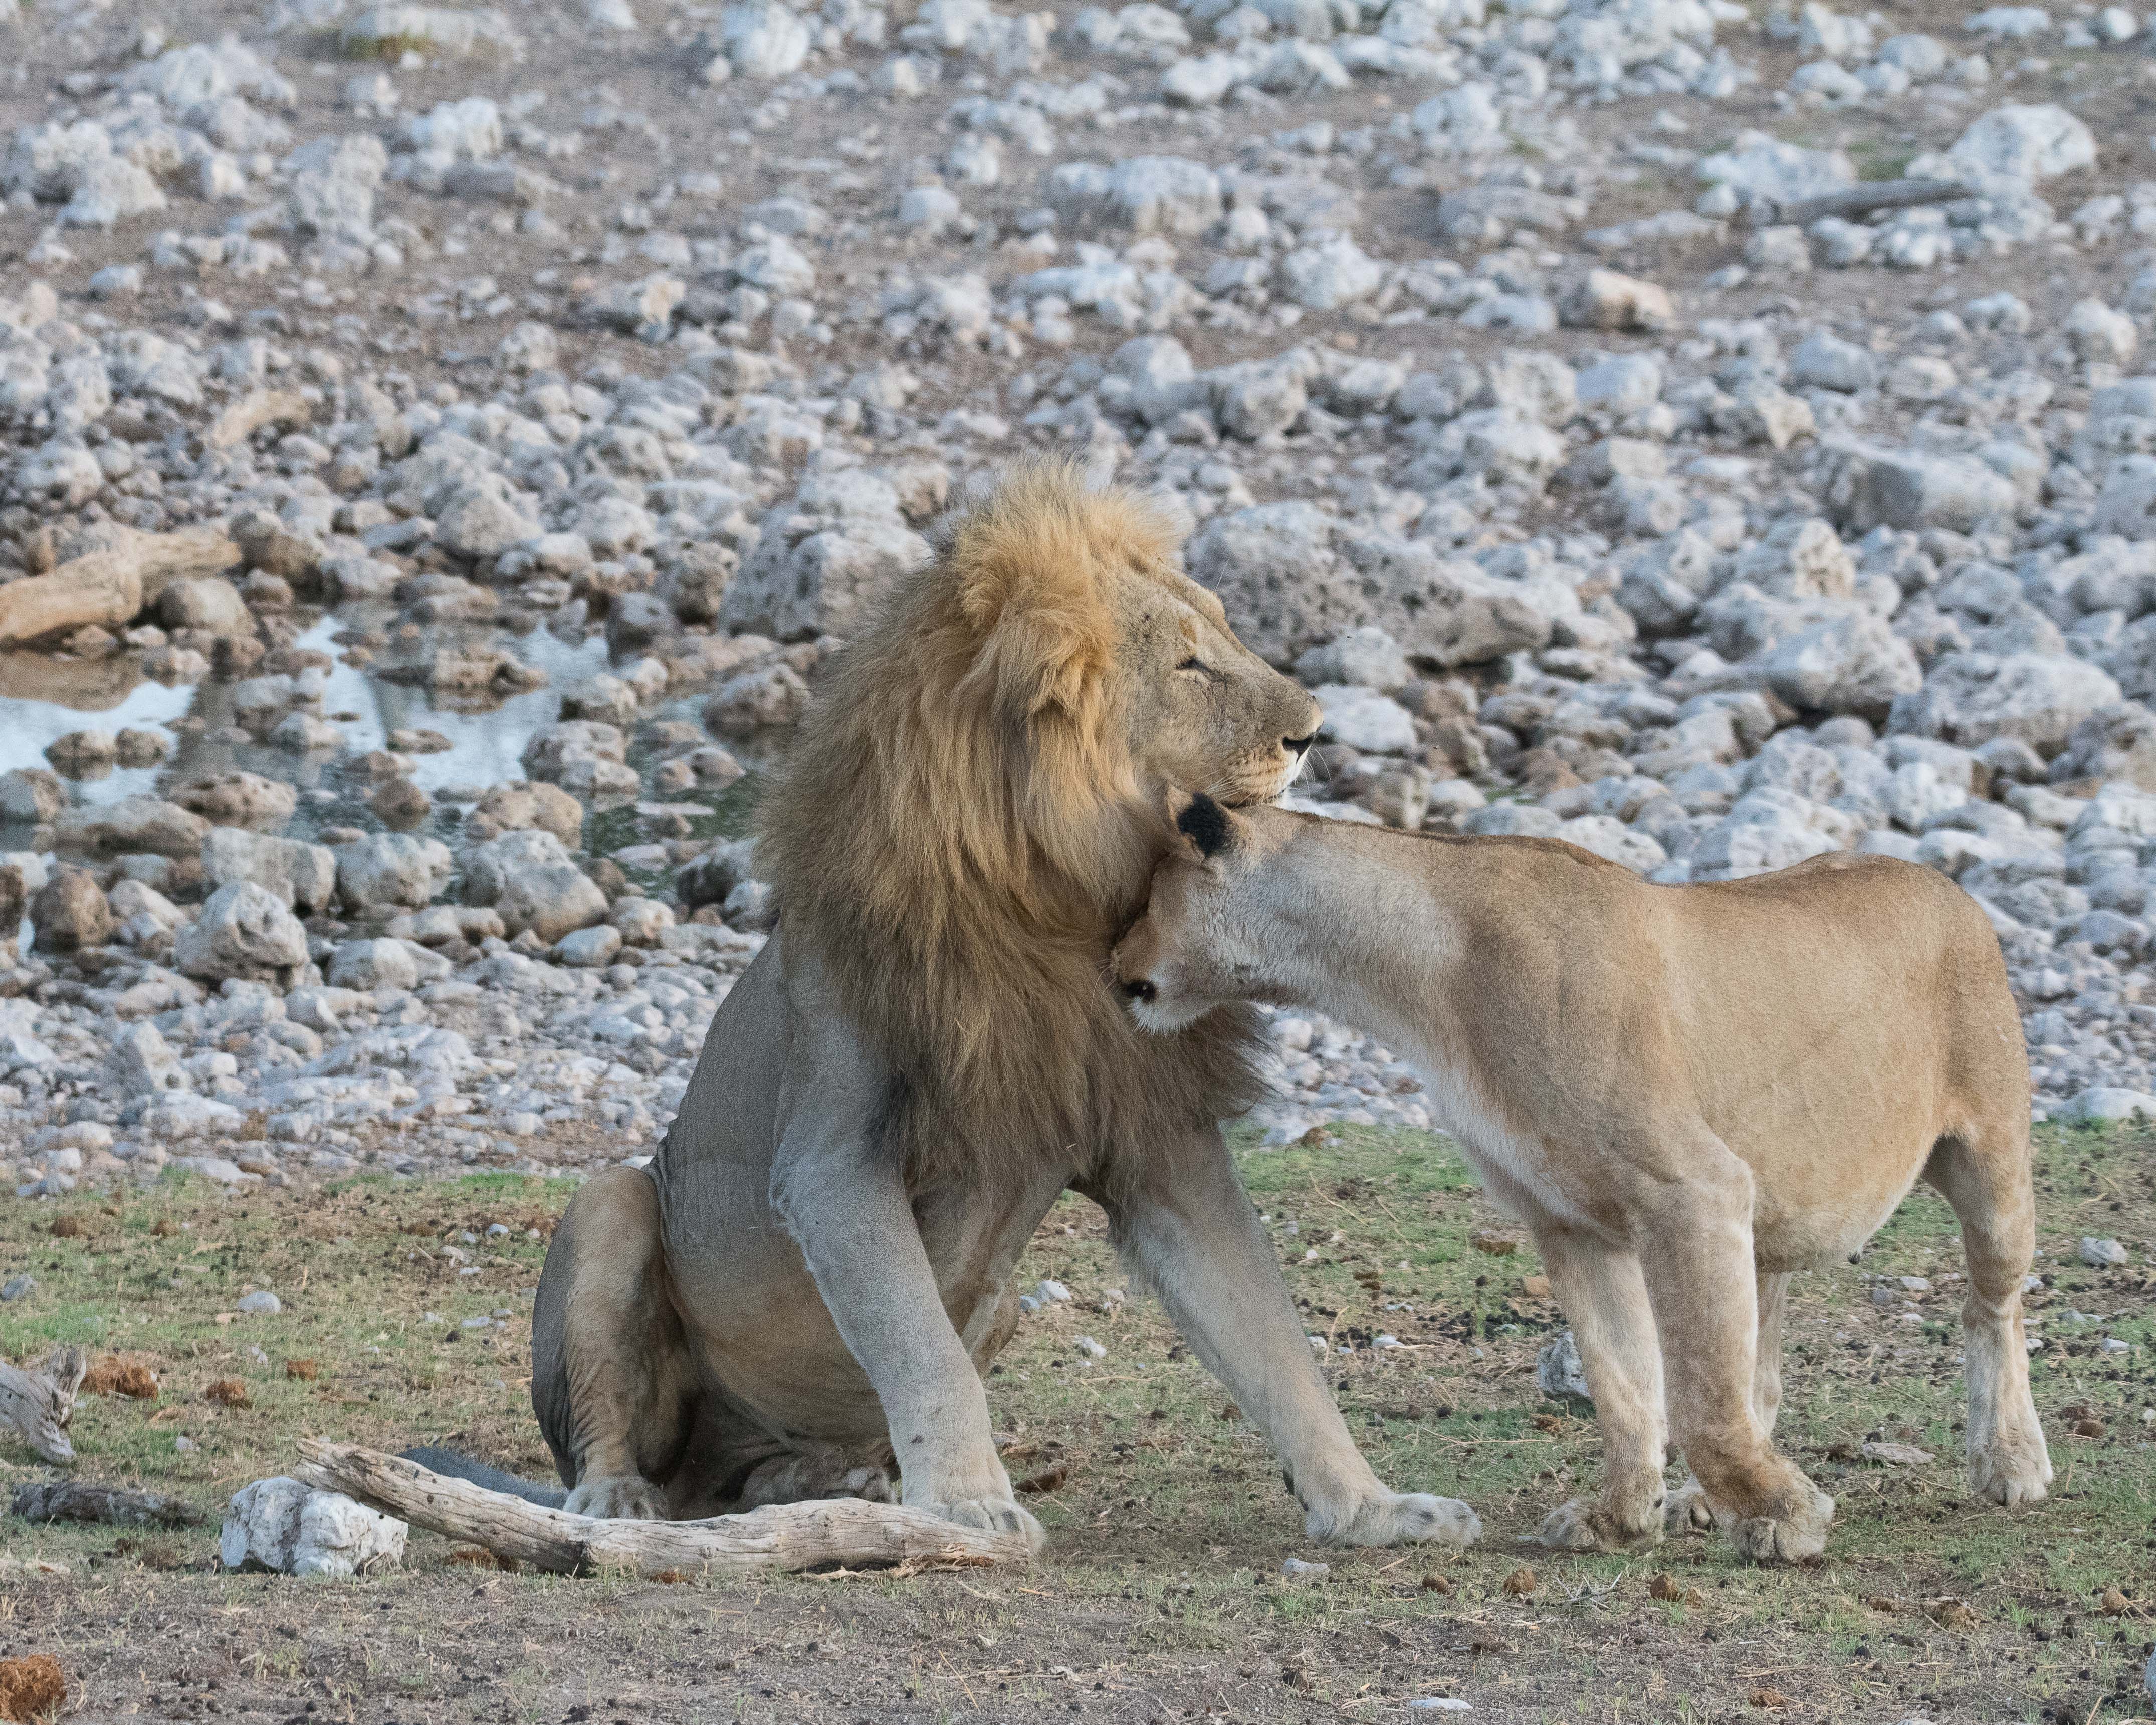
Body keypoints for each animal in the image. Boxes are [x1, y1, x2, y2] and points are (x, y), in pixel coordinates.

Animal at [528, 466, 1483, 1552]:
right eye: (1191, 663)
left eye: (1225, 635)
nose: (1314, 732)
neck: (1064, 911)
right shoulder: (830, 1154)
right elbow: (921, 1347)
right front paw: (968, 1501)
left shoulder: (1158, 1139)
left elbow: (1275, 1342)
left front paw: (1372, 1507)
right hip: (611, 1201)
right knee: (611, 1422)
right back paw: (620, 1499)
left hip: (1008, 1305)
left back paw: (830, 1479)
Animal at [1112, 793, 2052, 1561]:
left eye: (1146, 897)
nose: (1113, 966)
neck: (1414, 977)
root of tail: (1941, 880)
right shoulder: (1568, 1219)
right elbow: (1626, 1383)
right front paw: (1623, 1517)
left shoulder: (1693, 1188)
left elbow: (1697, 1399)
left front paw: (1789, 1517)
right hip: (1772, 1215)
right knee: (1762, 1364)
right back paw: (1707, 1501)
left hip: (1989, 1162)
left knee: (1991, 1306)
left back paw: (2008, 1461)